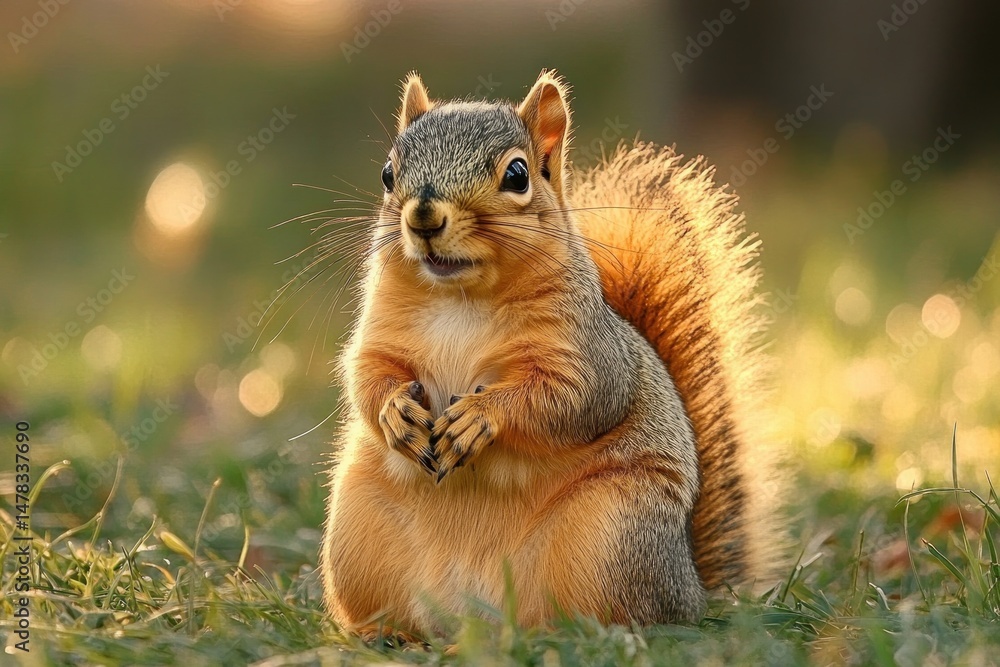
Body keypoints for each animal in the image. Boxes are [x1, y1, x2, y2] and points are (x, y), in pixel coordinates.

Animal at [320, 71, 780, 639]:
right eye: (387, 173)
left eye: (517, 175)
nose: (423, 215)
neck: (460, 298)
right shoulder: (380, 336)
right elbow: (366, 375)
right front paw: (394, 413)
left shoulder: (588, 356)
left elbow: (572, 399)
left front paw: (480, 416)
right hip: (357, 538)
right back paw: (390, 636)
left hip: (612, 534)